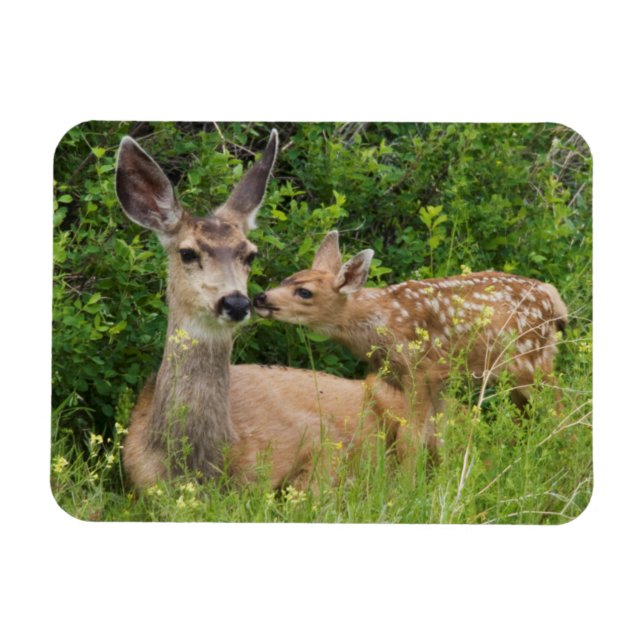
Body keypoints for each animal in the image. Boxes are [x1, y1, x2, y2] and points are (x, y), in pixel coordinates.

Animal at [253, 230, 568, 461]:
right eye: (287, 278)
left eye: (304, 292)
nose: (260, 298)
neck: (381, 321)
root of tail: (554, 298)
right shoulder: (437, 379)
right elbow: (437, 437)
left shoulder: (419, 369)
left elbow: (411, 439)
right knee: (528, 417)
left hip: (529, 360)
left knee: (560, 410)